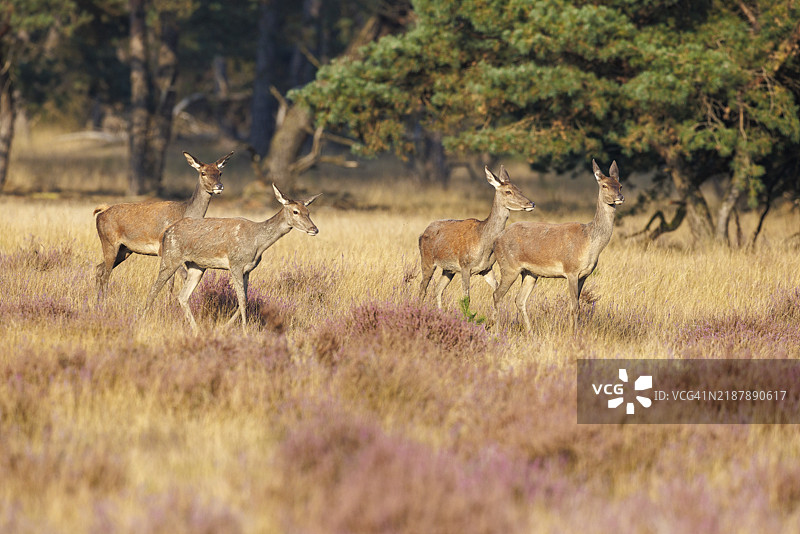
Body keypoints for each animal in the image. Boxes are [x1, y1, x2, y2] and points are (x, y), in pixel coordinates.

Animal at [93, 150, 233, 297]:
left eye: (220, 172)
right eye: (203, 172)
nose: (219, 186)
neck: (184, 212)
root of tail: (101, 213)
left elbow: (172, 282)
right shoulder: (163, 249)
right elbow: (180, 277)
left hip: (125, 249)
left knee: (99, 269)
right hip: (109, 242)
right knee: (106, 274)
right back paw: (104, 299)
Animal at [143, 184, 321, 333]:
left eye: (308, 212)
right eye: (295, 211)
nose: (314, 229)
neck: (257, 243)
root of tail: (166, 232)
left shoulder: (248, 269)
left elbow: (246, 299)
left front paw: (225, 326)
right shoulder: (235, 264)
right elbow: (241, 299)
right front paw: (245, 330)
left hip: (197, 267)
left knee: (182, 296)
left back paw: (196, 329)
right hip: (170, 257)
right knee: (153, 290)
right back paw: (142, 319)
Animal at [418, 165, 535, 309]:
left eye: (520, 190)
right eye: (508, 192)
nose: (531, 203)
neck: (484, 245)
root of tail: (422, 233)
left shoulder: (486, 269)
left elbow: (496, 289)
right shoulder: (465, 265)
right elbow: (466, 298)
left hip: (448, 269)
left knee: (438, 289)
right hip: (427, 260)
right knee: (423, 288)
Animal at [491, 160, 624, 334]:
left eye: (620, 185)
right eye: (604, 185)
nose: (619, 197)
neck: (589, 243)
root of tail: (496, 239)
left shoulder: (584, 275)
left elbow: (576, 305)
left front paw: (574, 331)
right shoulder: (571, 270)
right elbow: (575, 306)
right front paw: (573, 334)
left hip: (530, 273)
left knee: (519, 299)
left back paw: (530, 333)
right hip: (509, 267)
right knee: (497, 295)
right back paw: (497, 332)